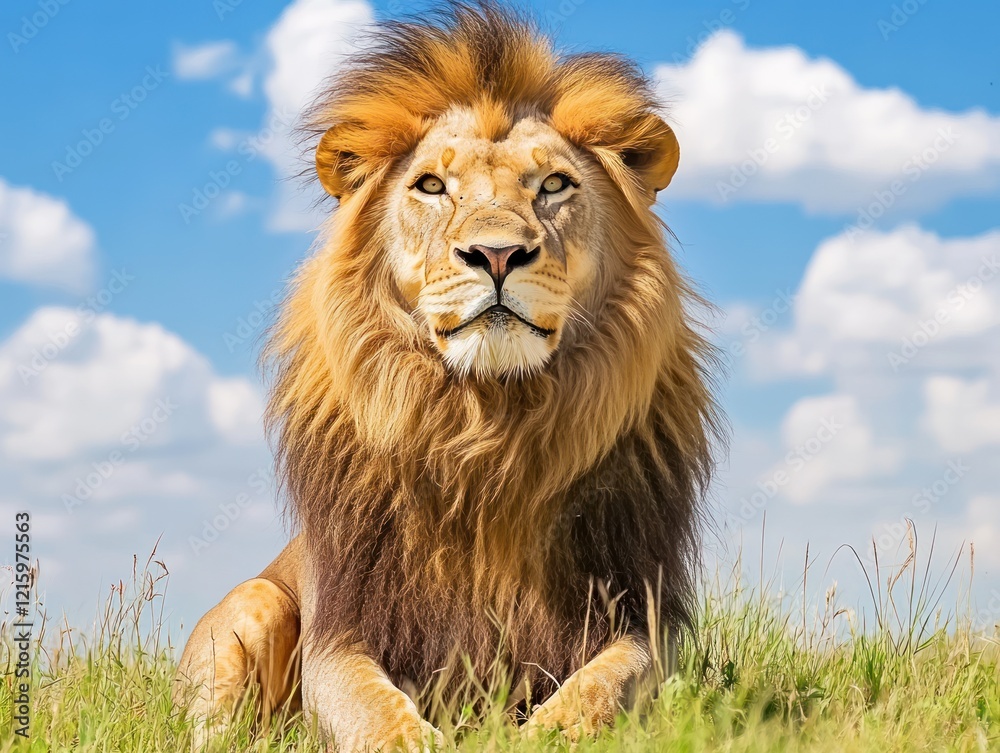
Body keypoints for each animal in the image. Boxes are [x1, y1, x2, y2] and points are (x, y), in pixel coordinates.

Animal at [173, 3, 720, 750]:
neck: (486, 429)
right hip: (256, 600)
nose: (497, 254)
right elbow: (382, 716)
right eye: (431, 185)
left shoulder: (639, 618)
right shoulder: (340, 636)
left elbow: (594, 693)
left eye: (554, 185)